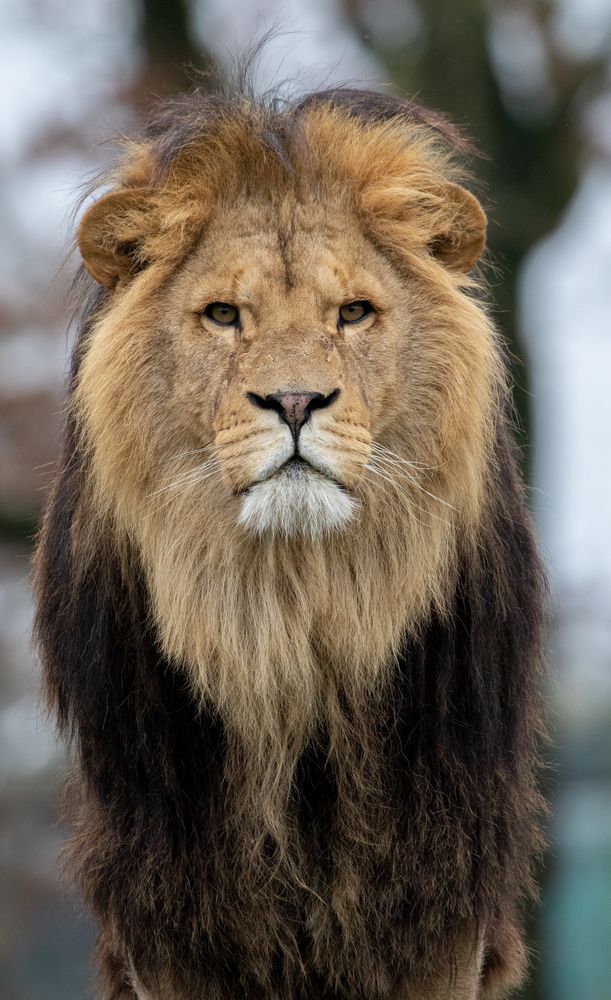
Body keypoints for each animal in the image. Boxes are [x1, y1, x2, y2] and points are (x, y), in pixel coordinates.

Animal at [34, 86, 546, 999]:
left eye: (352, 313)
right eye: (223, 316)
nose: (297, 401)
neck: (287, 616)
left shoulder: (435, 904)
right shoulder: (173, 908)